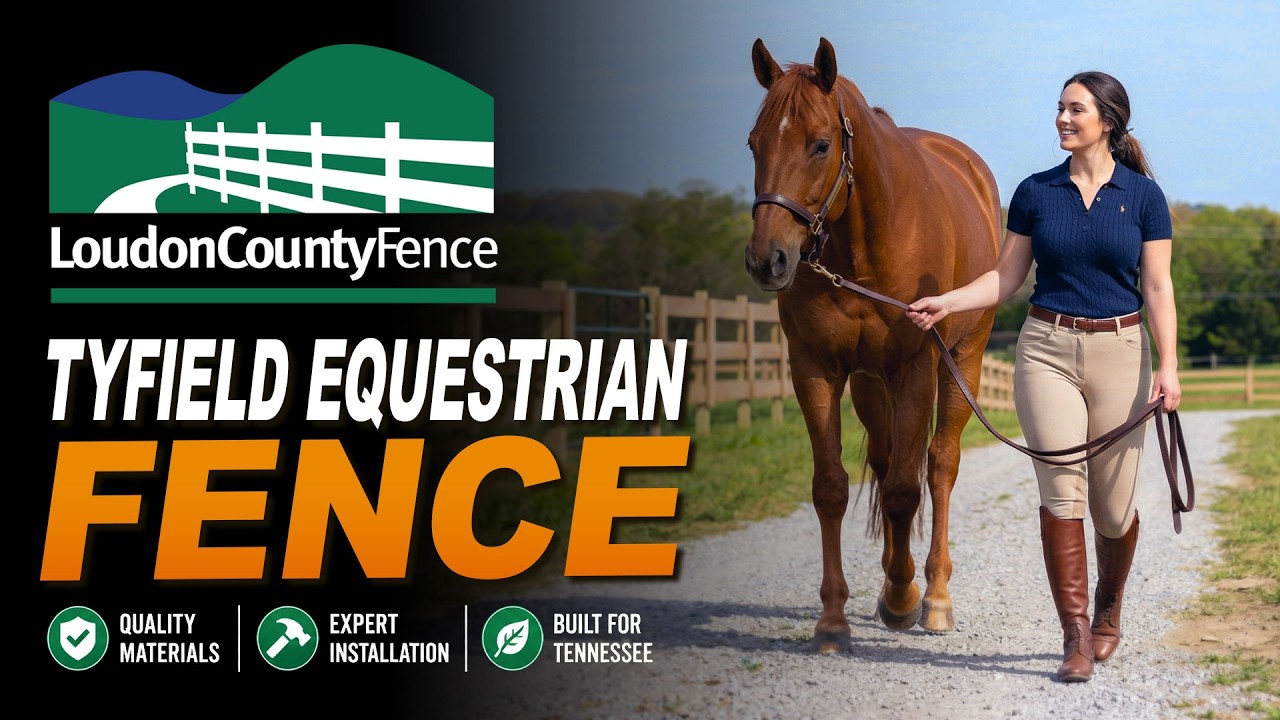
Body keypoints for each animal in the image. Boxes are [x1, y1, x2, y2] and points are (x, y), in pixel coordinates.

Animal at [744, 37, 1001, 652]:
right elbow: (833, 488)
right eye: (753, 143)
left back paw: (933, 595)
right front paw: (834, 619)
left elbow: (909, 489)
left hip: (962, 361)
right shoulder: (816, 368)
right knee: (885, 464)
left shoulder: (915, 367)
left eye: (820, 144)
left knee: (938, 466)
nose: (767, 260)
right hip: (868, 383)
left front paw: (907, 600)